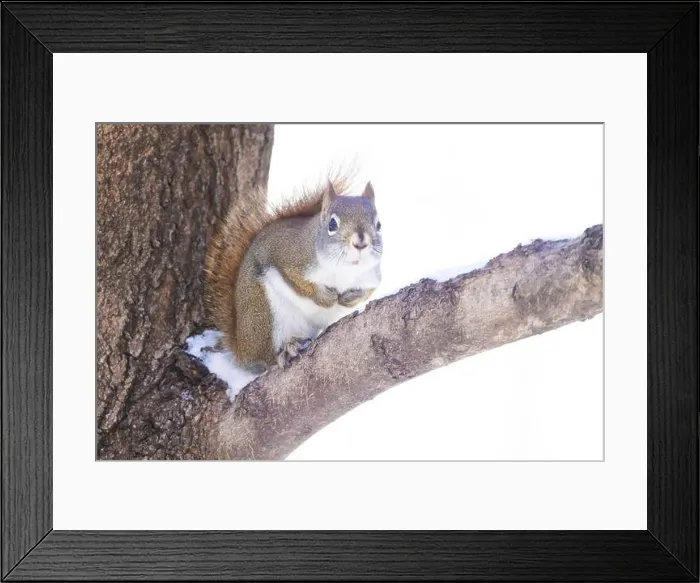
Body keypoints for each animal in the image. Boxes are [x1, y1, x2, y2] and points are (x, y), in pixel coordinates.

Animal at [204, 174, 383, 373]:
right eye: (332, 224)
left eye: (378, 225)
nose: (360, 242)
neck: (344, 270)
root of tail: (242, 350)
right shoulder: (289, 259)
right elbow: (300, 284)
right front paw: (326, 298)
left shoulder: (372, 277)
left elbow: (368, 292)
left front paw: (349, 299)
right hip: (264, 314)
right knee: (266, 358)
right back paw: (287, 351)